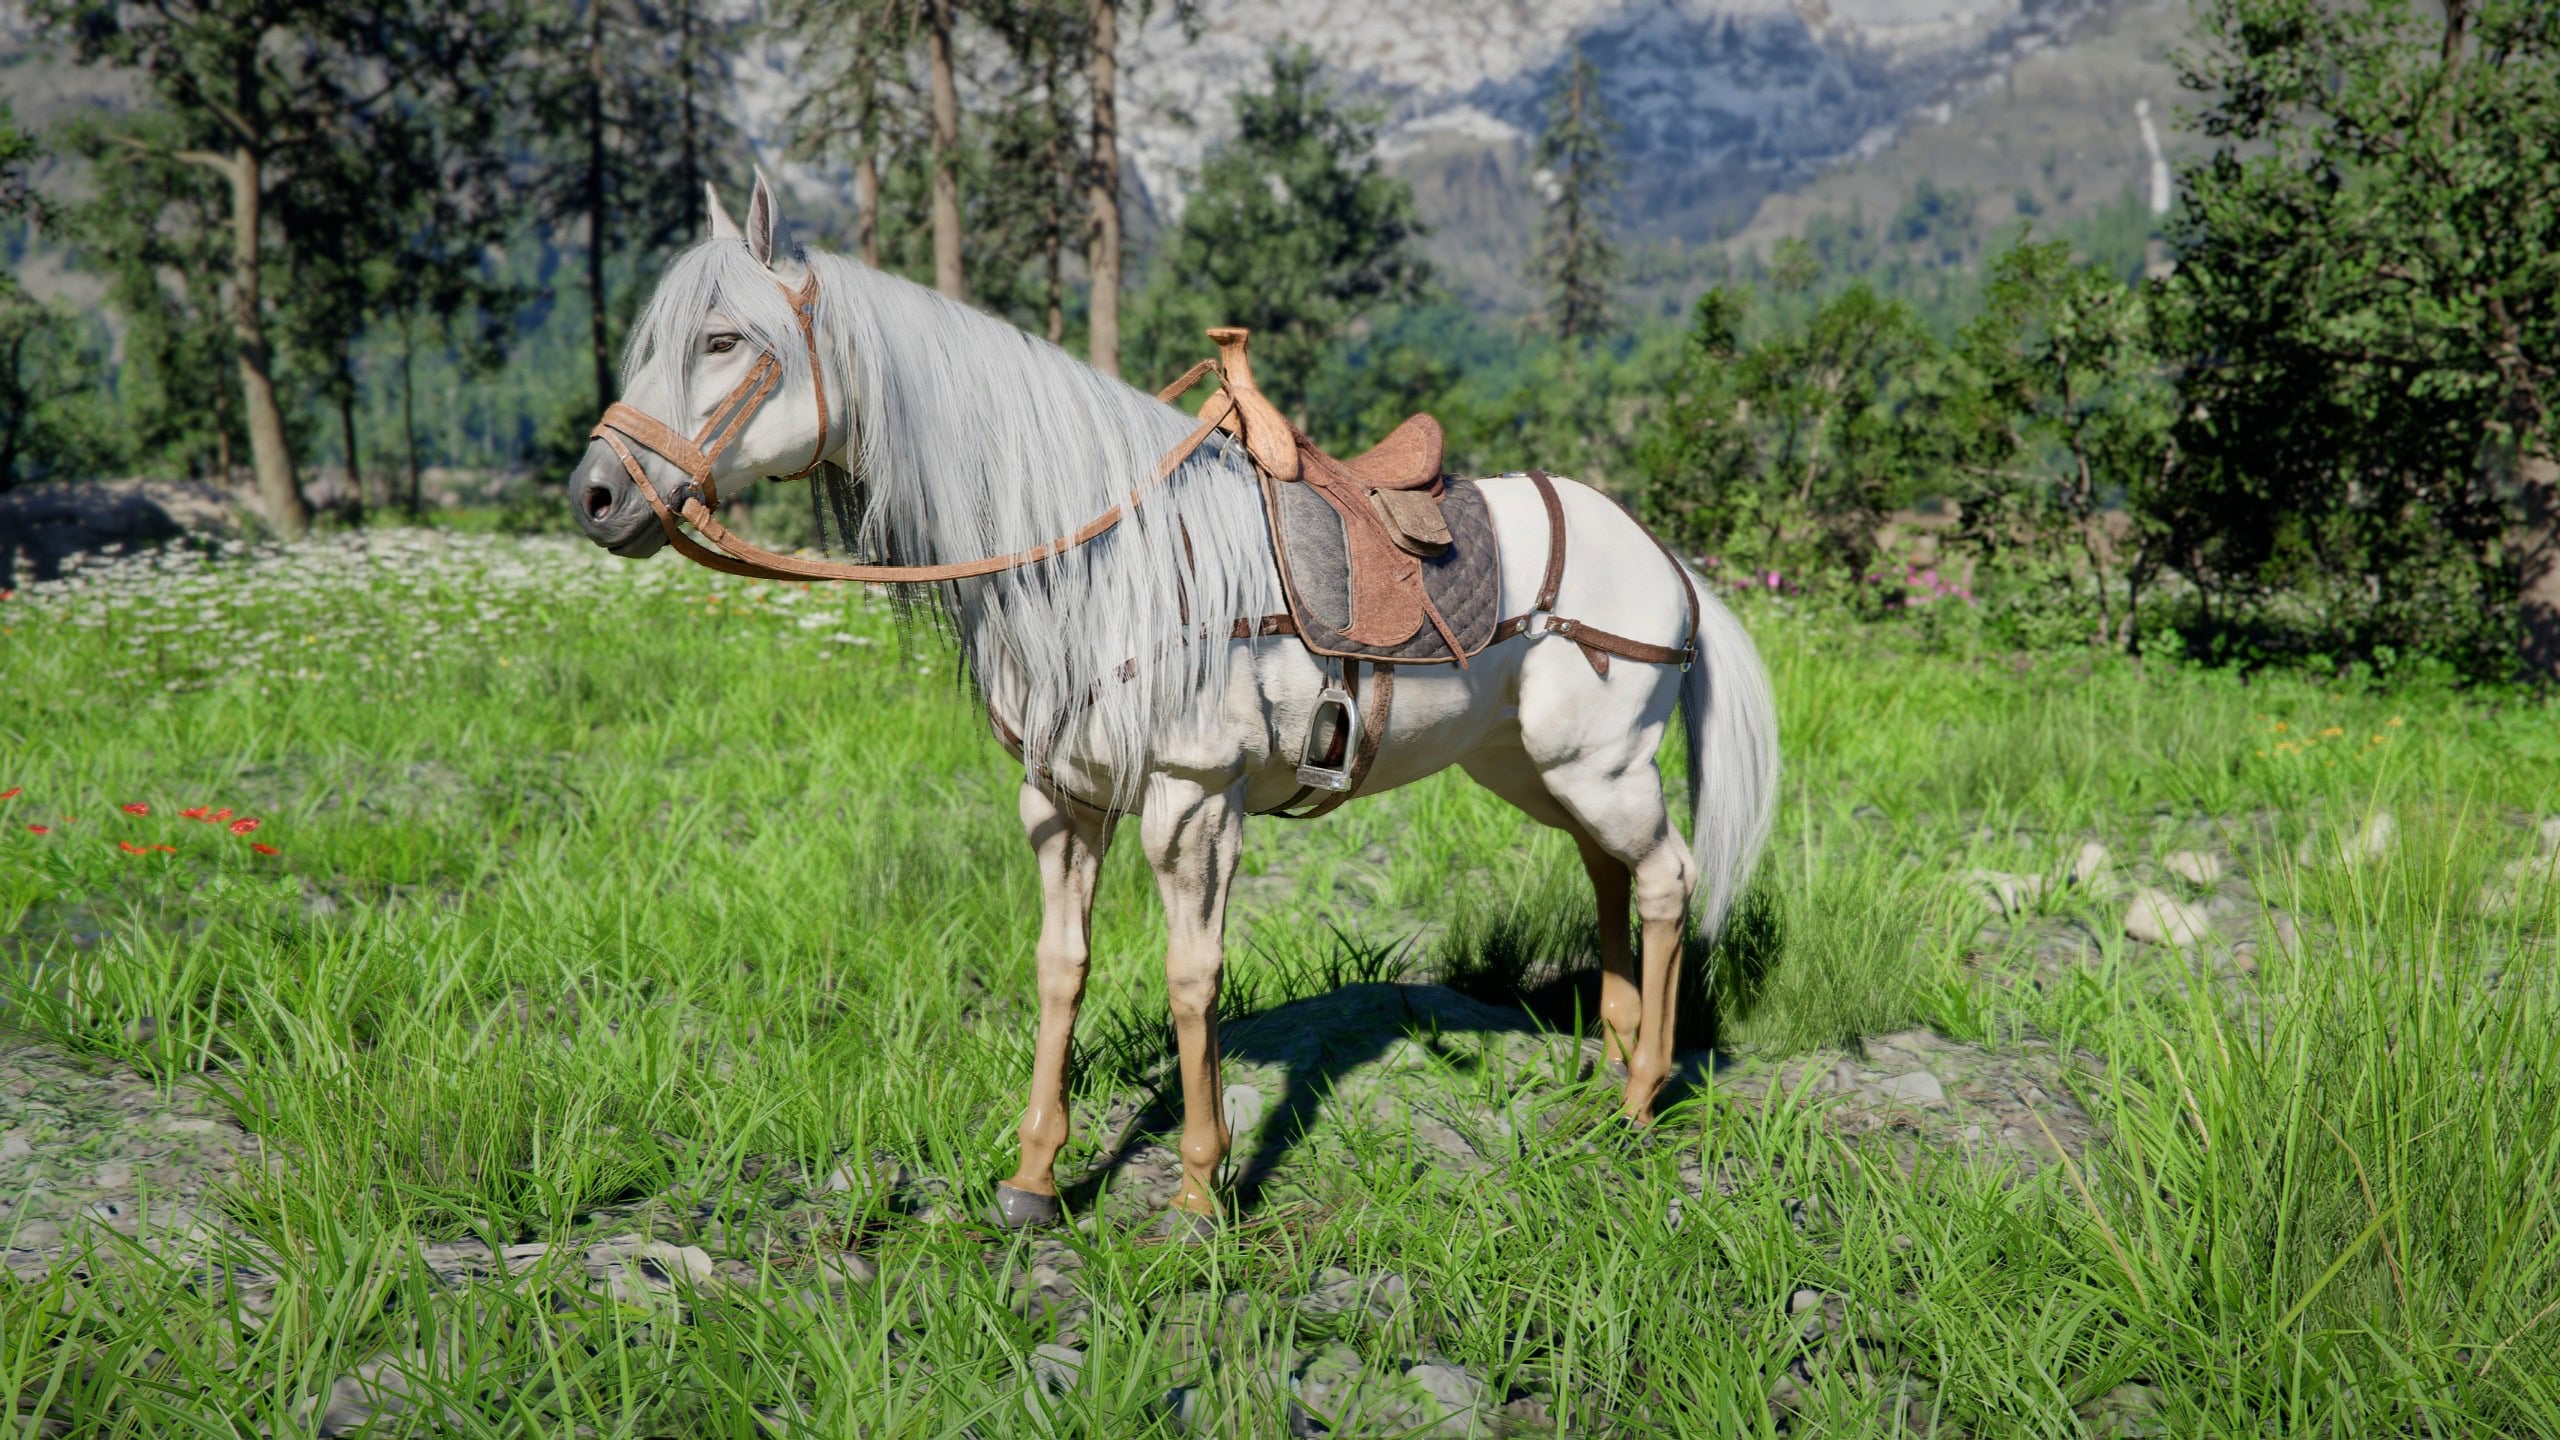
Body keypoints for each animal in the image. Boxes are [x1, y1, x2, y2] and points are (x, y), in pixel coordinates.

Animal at [568, 171, 1780, 1234]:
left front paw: (1200, 1194)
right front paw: (1033, 1179)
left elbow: (1193, 981)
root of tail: (1664, 559)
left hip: (1597, 766)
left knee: (1665, 880)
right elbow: (1060, 970)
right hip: (1528, 765)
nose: (597, 493)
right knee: (1607, 871)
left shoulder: (1192, 798)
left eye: (722, 341)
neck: (1097, 558)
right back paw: (1613, 1055)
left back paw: (1639, 1098)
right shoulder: (1060, 800)